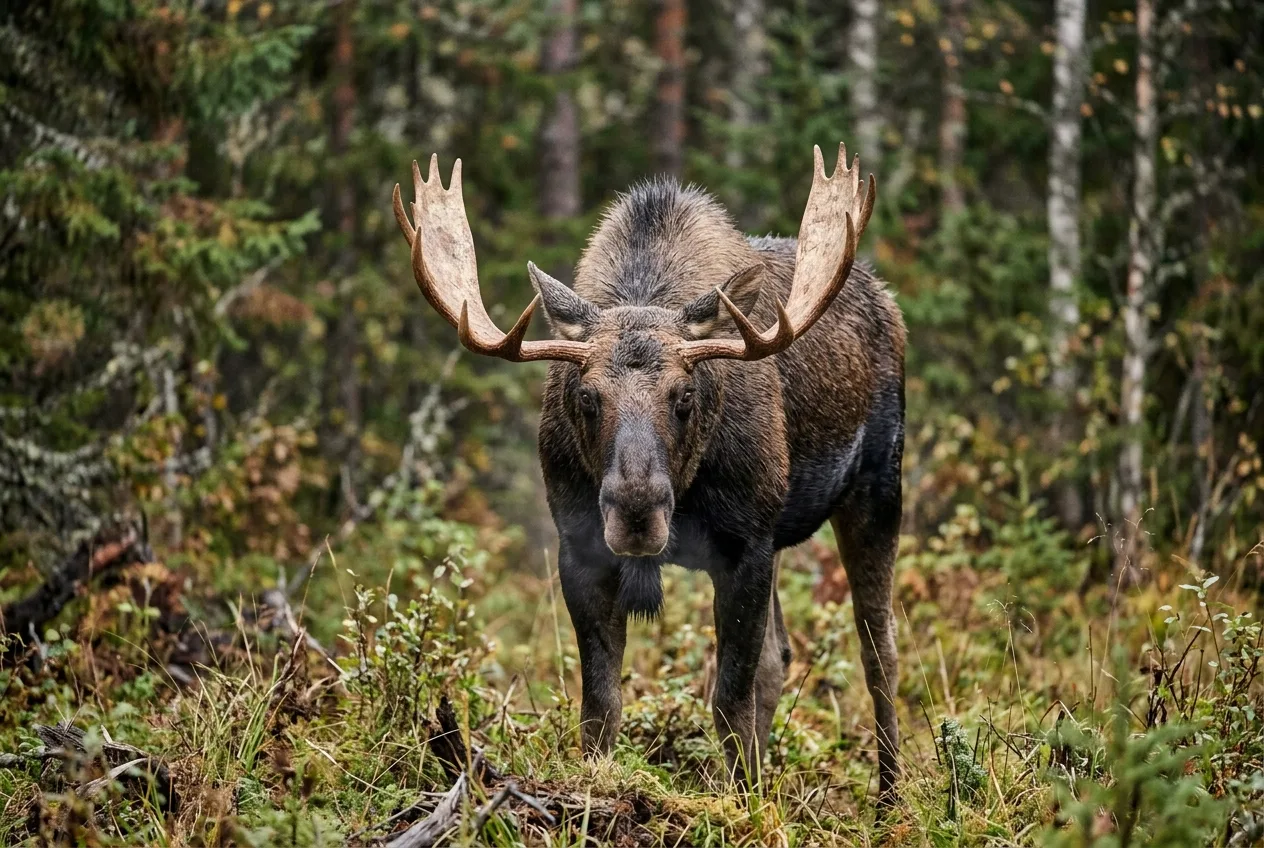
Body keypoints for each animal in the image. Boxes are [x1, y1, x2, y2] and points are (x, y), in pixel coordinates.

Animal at [391, 143, 904, 801]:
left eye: (684, 395)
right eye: (587, 396)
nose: (636, 508)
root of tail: (886, 300)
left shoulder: (747, 544)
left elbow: (728, 703)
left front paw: (741, 806)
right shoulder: (580, 546)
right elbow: (601, 704)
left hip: (877, 487)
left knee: (878, 650)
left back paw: (889, 798)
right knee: (781, 657)